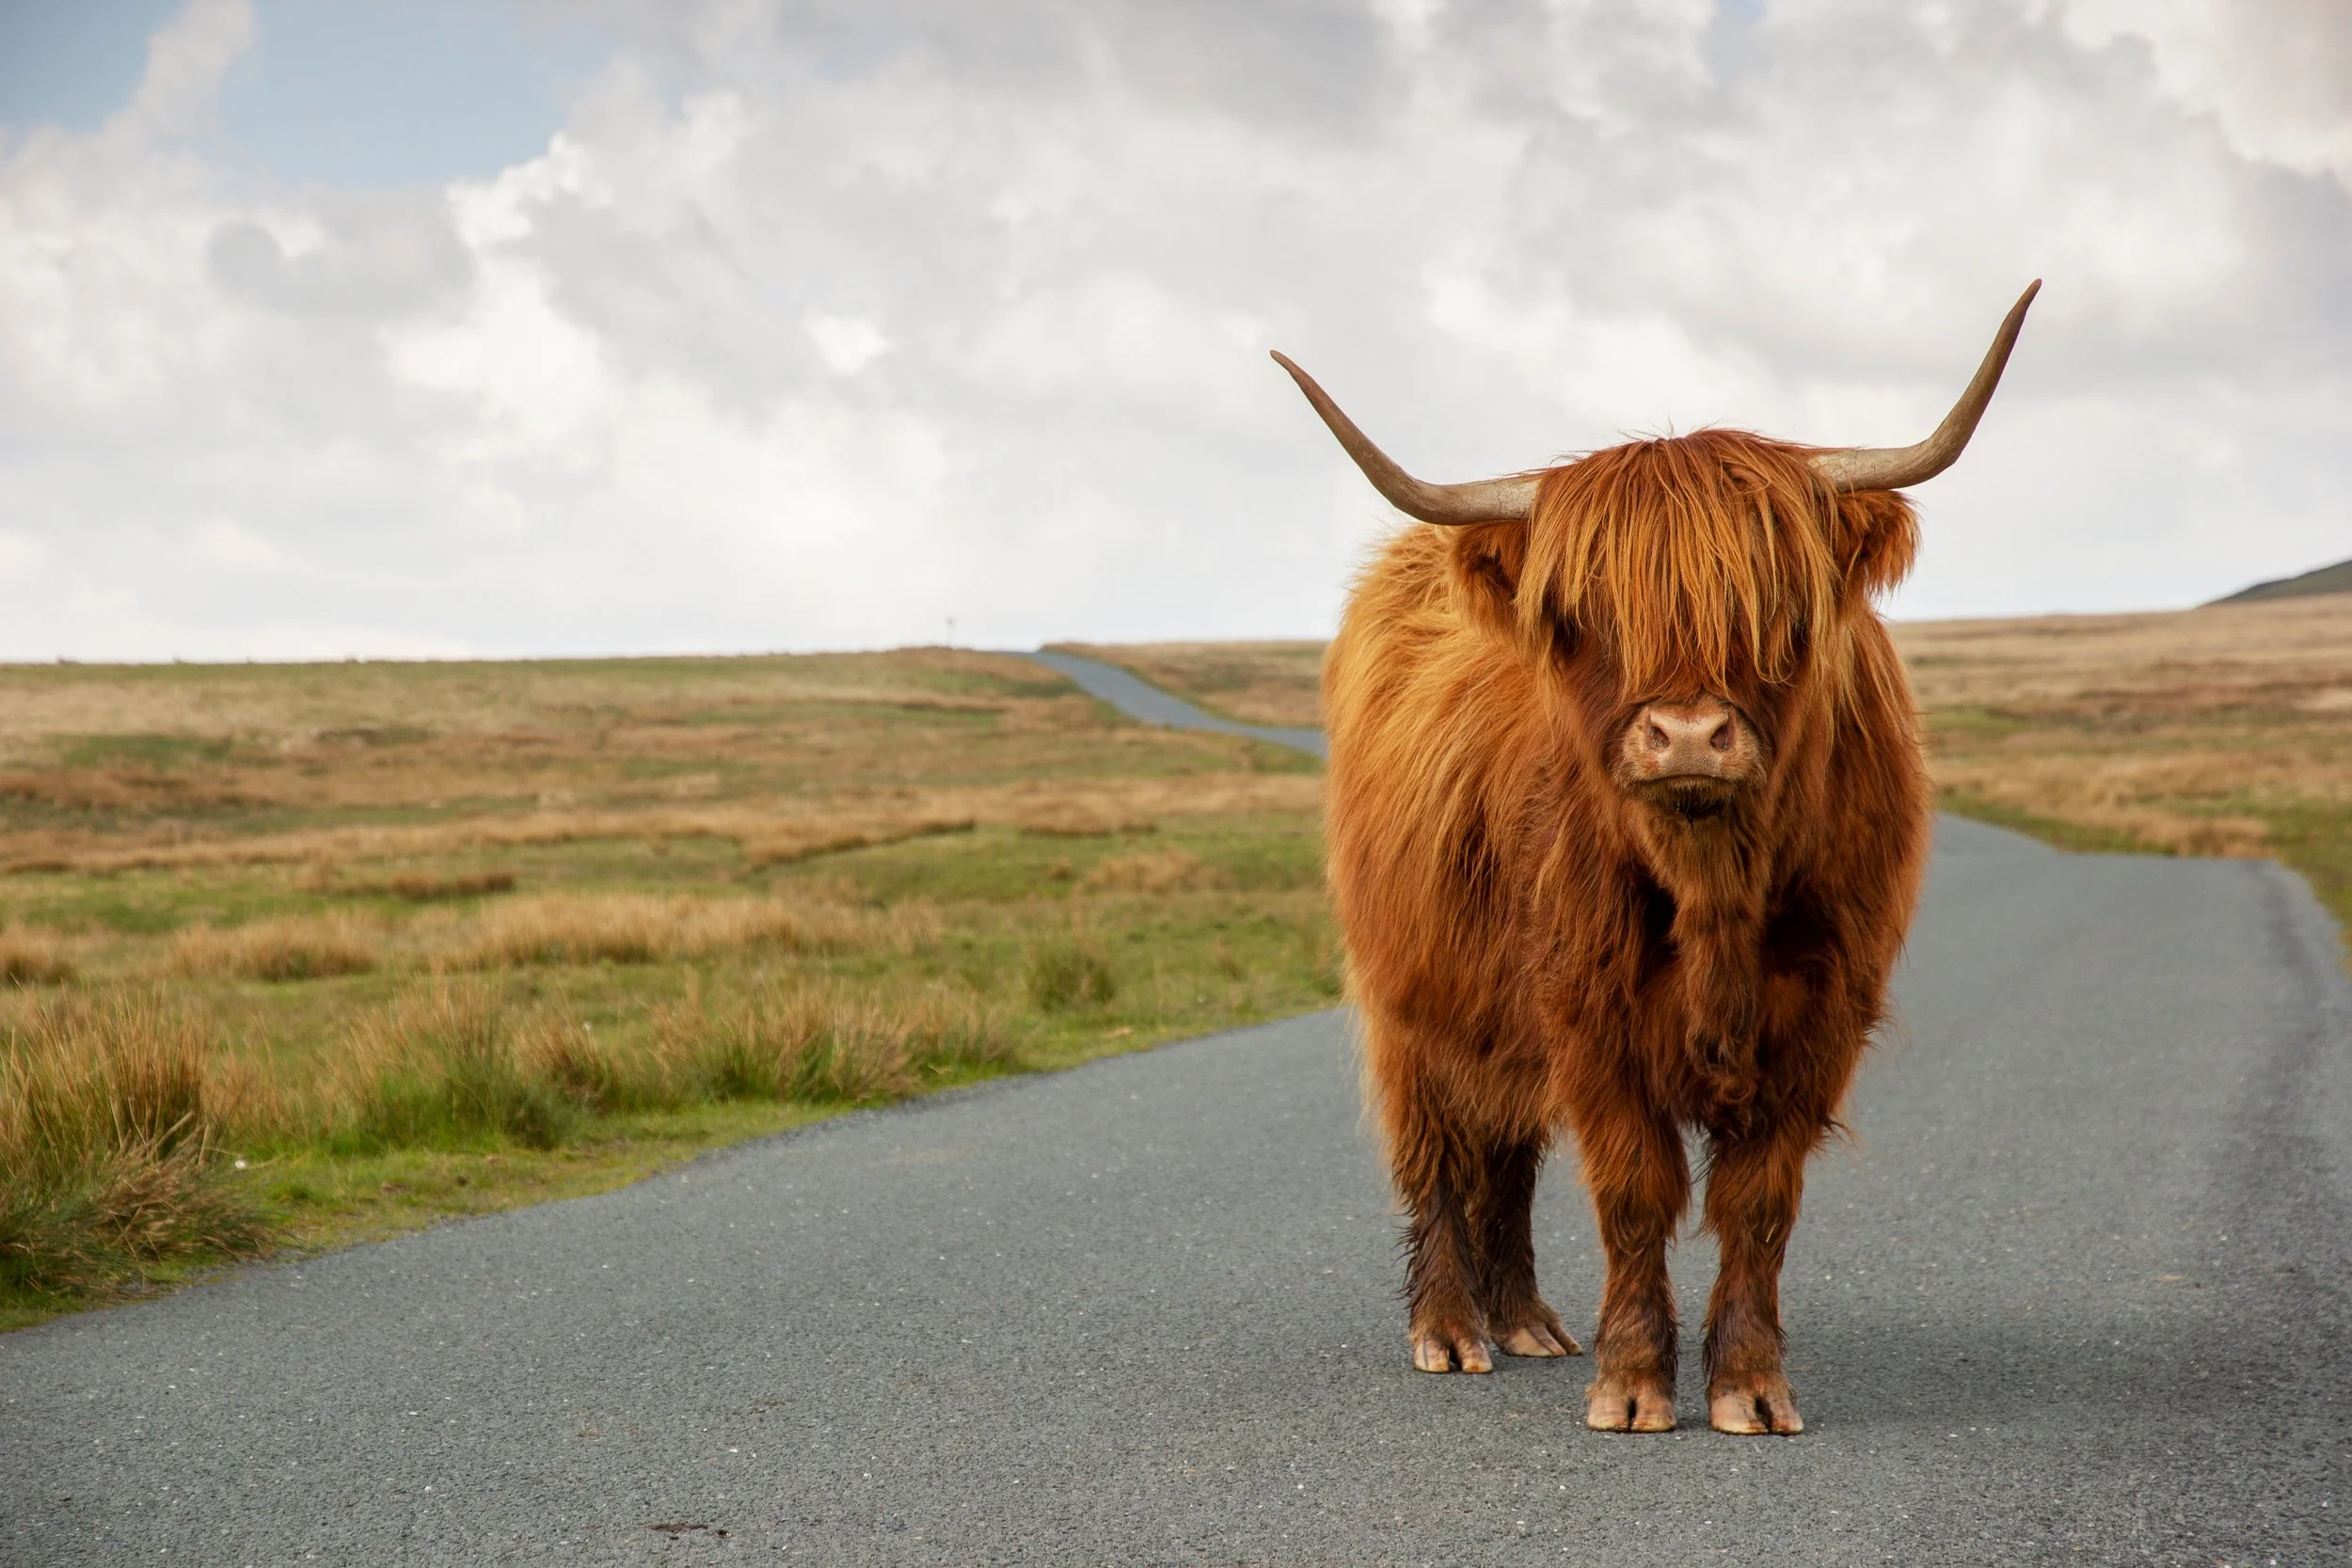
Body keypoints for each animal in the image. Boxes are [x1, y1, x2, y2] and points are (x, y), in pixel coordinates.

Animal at [1273, 284, 2037, 1435]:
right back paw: (1451, 1328)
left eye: (1776, 605)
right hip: (1414, 994)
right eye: (1582, 616)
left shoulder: (1819, 1019)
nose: (1684, 735)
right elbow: (1632, 1190)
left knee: (1507, 1154)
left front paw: (1750, 1386)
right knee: (1441, 1148)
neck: (1712, 882)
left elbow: (1757, 1203)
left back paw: (1527, 1319)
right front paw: (1631, 1382)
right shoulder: (1587, 1010)